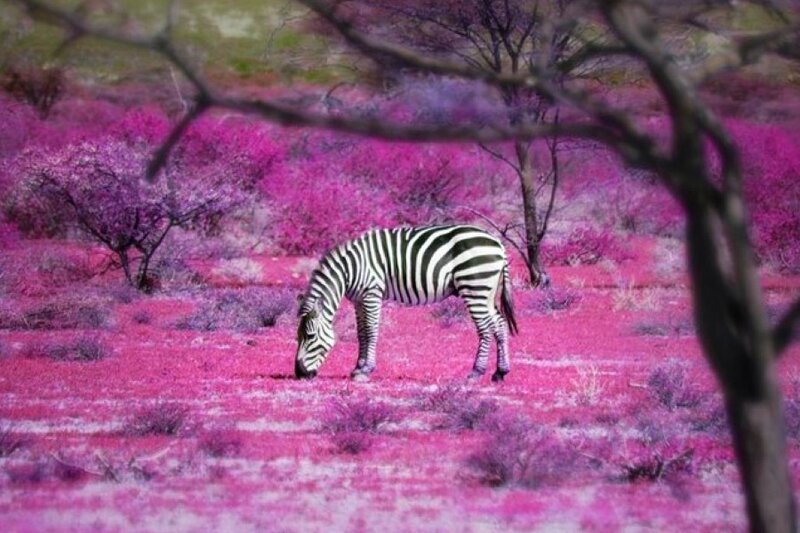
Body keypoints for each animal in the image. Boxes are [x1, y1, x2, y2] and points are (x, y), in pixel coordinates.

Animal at [294, 224, 518, 381]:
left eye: (310, 336)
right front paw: (357, 367)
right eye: (297, 337)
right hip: (487, 290)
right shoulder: (358, 300)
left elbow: (371, 330)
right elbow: (361, 333)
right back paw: (500, 372)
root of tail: (498, 244)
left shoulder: (371, 293)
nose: (299, 374)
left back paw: (476, 372)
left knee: (485, 329)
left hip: (475, 287)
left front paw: (366, 370)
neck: (349, 269)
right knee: (499, 324)